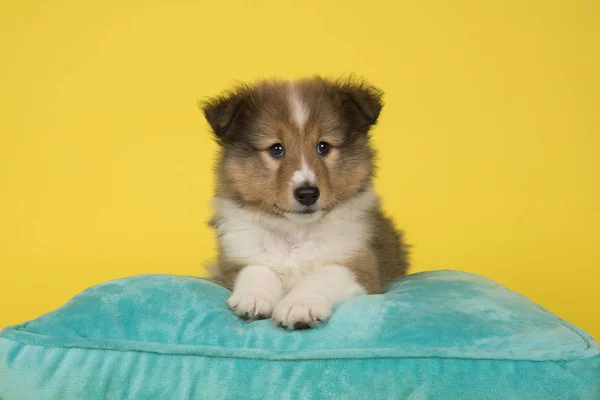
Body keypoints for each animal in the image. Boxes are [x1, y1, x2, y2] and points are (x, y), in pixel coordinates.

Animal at [200, 76, 408, 330]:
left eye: (323, 146)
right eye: (276, 149)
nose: (307, 193)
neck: (294, 232)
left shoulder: (361, 266)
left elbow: (322, 276)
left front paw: (298, 306)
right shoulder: (232, 262)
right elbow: (256, 268)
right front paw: (255, 299)